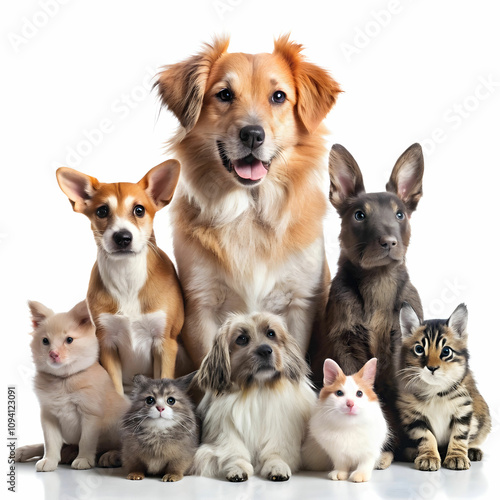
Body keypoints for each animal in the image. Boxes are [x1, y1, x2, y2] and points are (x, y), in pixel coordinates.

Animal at [56, 162, 185, 396]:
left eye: (139, 210)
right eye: (102, 211)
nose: (123, 237)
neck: (127, 278)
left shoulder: (165, 343)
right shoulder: (107, 343)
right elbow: (115, 390)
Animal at [155, 35, 344, 370]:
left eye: (278, 96)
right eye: (225, 94)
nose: (253, 134)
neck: (250, 210)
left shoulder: (299, 302)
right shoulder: (201, 304)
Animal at [192, 312, 314, 480]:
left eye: (271, 334)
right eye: (242, 339)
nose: (265, 350)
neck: (257, 389)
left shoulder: (280, 431)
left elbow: (275, 454)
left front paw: (277, 467)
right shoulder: (227, 432)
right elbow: (234, 453)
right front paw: (237, 469)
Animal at [396, 302, 490, 470]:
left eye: (446, 351)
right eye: (419, 349)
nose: (432, 368)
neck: (435, 391)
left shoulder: (463, 410)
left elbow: (459, 436)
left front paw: (456, 456)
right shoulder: (413, 416)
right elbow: (427, 437)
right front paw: (428, 456)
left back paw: (472, 450)